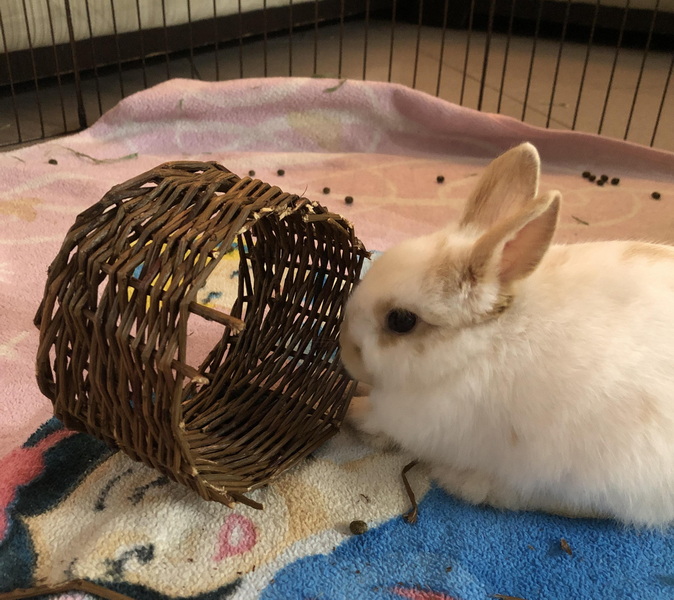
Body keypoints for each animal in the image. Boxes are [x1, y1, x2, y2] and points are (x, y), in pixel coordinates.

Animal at [339, 142, 674, 527]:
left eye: (401, 321)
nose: (344, 351)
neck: (480, 342)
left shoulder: (406, 419)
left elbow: (372, 417)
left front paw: (349, 407)